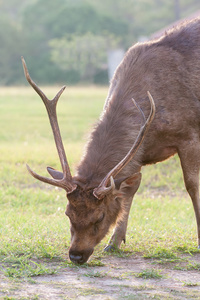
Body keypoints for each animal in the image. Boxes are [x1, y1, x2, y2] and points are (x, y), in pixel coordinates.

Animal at [21, 17, 200, 264]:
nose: (76, 255)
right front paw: (115, 241)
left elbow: (192, 185)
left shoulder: (190, 135)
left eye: (100, 216)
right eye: (67, 213)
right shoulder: (138, 155)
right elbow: (129, 189)